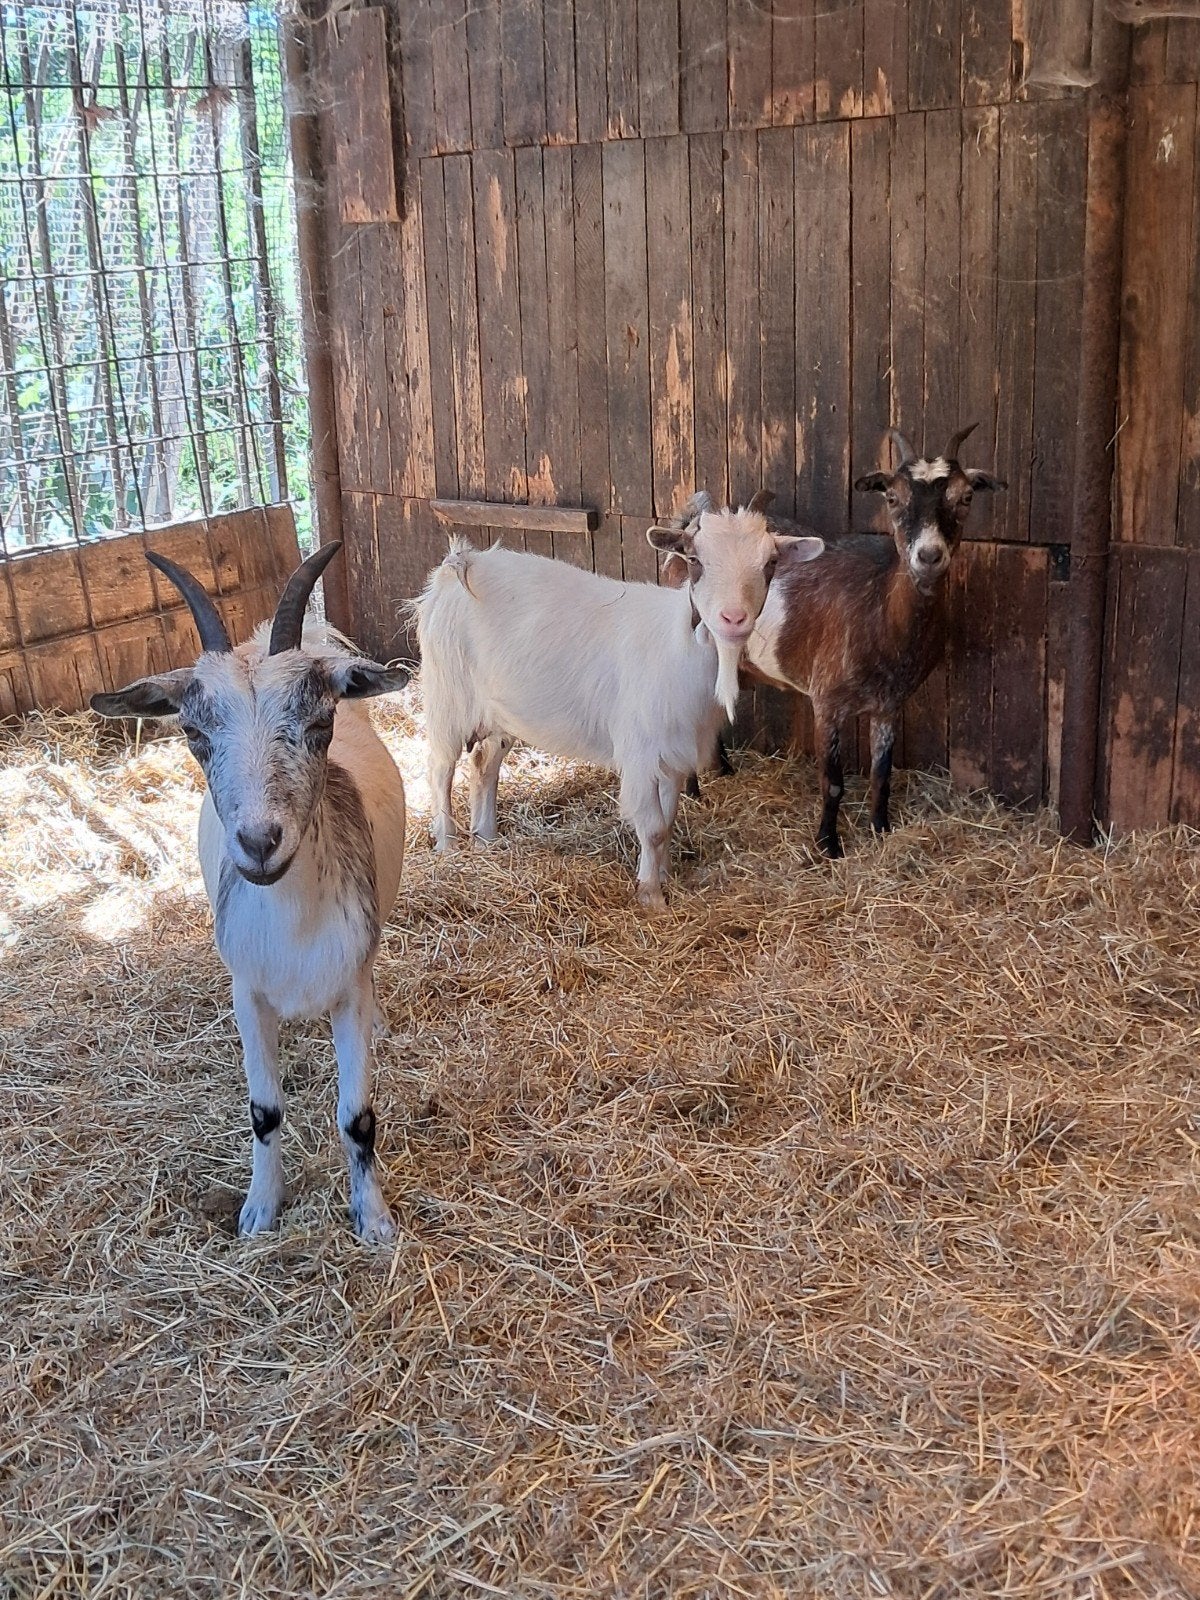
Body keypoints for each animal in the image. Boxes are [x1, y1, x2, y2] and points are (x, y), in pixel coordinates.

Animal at [90, 543, 410, 1241]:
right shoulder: (248, 994)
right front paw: (260, 1210)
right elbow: (264, 1109)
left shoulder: (349, 986)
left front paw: (373, 1221)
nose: (260, 841)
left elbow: (357, 1116)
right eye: (194, 733)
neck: (294, 926)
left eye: (319, 721)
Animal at [414, 508, 824, 909]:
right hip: (448, 696)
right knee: (440, 769)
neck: (679, 645)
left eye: (771, 563)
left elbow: (668, 820)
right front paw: (651, 897)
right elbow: (654, 828)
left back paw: (486, 838)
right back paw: (448, 844)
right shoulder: (639, 752)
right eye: (695, 560)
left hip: (497, 711)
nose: (734, 619)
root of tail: (462, 562)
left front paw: (663, 875)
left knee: (484, 764)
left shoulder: (674, 755)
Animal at [743, 423, 1006, 859]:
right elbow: (832, 782)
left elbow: (882, 774)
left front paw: (880, 829)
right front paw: (828, 845)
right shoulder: (826, 702)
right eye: (892, 497)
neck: (879, 613)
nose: (929, 556)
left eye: (966, 496)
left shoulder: (889, 704)